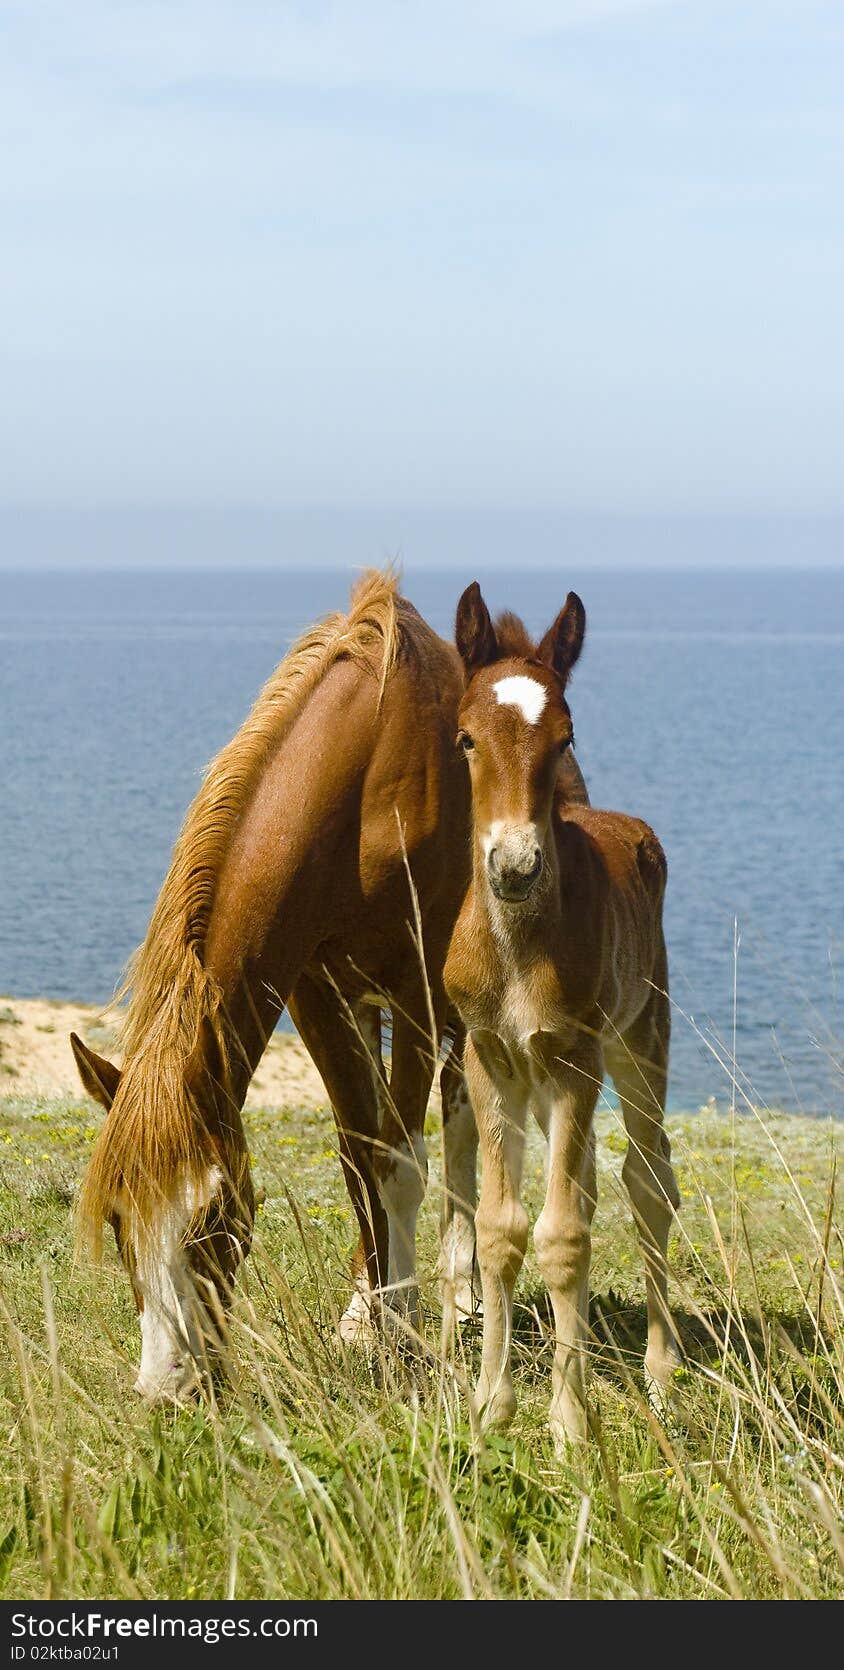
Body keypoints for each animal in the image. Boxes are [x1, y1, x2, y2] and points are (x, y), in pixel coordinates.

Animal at [444, 584, 681, 1449]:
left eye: (565, 736)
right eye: (466, 738)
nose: (515, 866)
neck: (517, 948)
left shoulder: (576, 1055)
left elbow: (565, 1233)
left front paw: (571, 1423)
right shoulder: (488, 1055)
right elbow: (501, 1227)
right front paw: (490, 1406)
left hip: (641, 1040)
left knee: (648, 1180)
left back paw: (662, 1369)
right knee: (587, 1187)